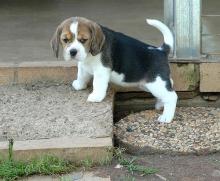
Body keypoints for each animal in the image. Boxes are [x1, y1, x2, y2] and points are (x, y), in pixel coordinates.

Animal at [50, 16, 178, 123]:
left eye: (83, 40)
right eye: (65, 40)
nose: (72, 52)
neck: (89, 54)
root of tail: (161, 51)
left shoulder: (101, 70)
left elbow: (97, 84)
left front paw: (96, 96)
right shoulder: (83, 65)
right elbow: (81, 75)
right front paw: (79, 85)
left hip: (155, 83)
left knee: (172, 96)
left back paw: (166, 117)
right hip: (150, 85)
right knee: (170, 85)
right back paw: (161, 104)